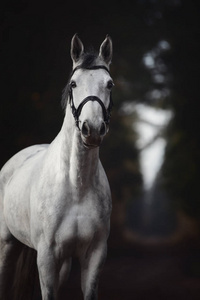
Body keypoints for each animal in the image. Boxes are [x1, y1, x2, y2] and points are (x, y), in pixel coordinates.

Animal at [0, 34, 113, 300]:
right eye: (73, 84)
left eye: (109, 84)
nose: (92, 129)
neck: (76, 185)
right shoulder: (47, 257)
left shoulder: (94, 255)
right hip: (7, 245)